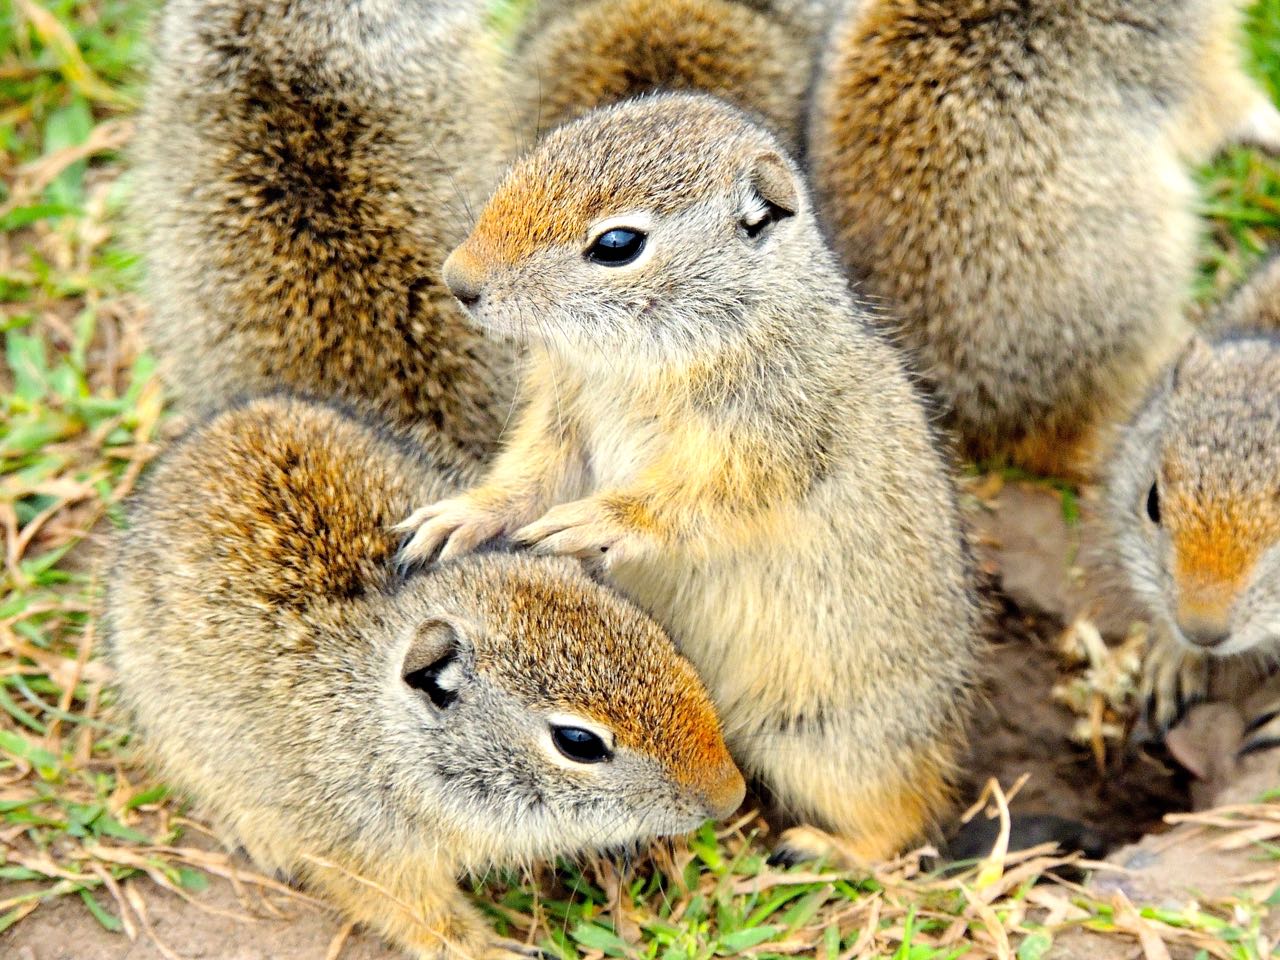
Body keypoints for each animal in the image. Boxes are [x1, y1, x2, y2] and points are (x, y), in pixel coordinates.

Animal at [112, 391, 747, 960]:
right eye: (577, 742)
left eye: (662, 638)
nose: (731, 796)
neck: (387, 733)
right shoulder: (364, 854)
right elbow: (422, 919)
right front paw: (496, 951)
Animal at [399, 94, 977, 870]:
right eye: (529, 160)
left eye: (617, 244)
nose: (459, 280)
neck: (649, 357)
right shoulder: (560, 422)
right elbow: (524, 478)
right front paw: (457, 517)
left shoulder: (756, 450)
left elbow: (675, 504)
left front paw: (589, 523)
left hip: (826, 741)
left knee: (900, 819)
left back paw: (820, 847)